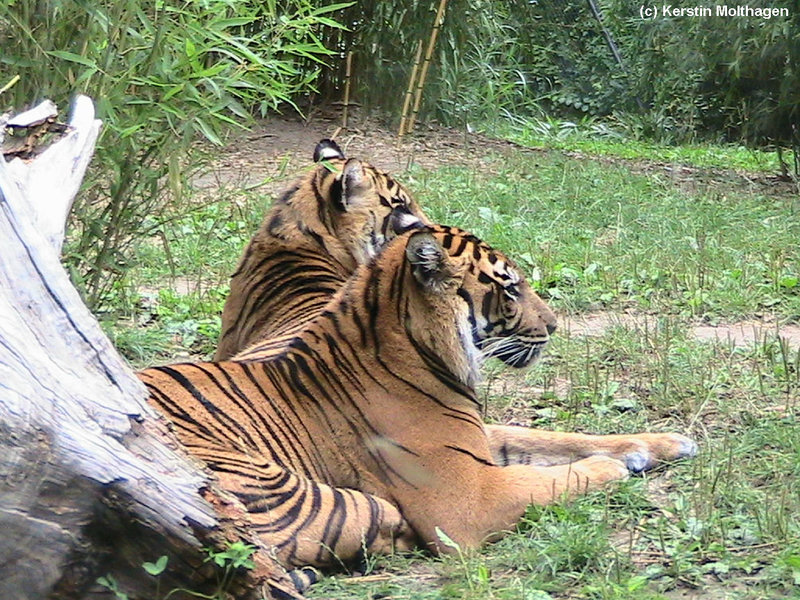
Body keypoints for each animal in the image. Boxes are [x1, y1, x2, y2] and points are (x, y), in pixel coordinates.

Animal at [139, 225, 692, 596]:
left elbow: (555, 440)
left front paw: (663, 443)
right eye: (510, 288)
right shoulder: (467, 496)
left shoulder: (478, 439)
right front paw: (615, 469)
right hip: (300, 495)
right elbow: (554, 477)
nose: (555, 326)